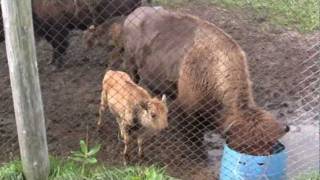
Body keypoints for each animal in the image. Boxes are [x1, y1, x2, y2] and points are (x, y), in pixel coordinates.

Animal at [0, 0, 148, 69]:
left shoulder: (58, 30)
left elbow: (60, 46)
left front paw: (57, 65)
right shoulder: (49, 31)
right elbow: (55, 46)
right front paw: (51, 62)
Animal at [107, 7, 290, 155]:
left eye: (270, 148)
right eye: (241, 148)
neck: (212, 69)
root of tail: (134, 14)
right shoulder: (188, 109)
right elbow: (192, 135)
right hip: (131, 65)